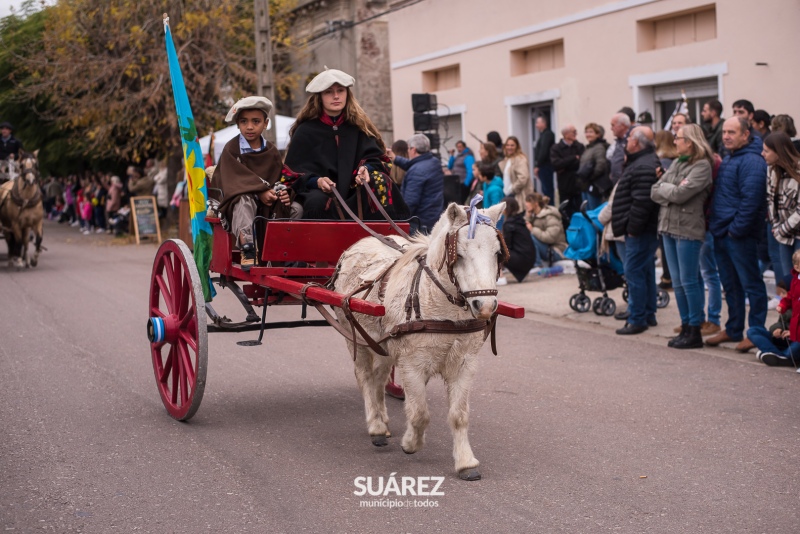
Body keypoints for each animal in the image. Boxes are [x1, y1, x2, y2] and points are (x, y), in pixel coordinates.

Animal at [332, 200, 506, 482]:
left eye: (497, 253)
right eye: (460, 255)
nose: (486, 306)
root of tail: (360, 243)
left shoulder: (464, 364)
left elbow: (459, 415)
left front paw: (466, 462)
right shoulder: (412, 364)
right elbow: (420, 413)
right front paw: (411, 443)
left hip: (383, 342)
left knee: (379, 377)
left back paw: (382, 419)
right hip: (355, 335)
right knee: (365, 377)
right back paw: (376, 426)